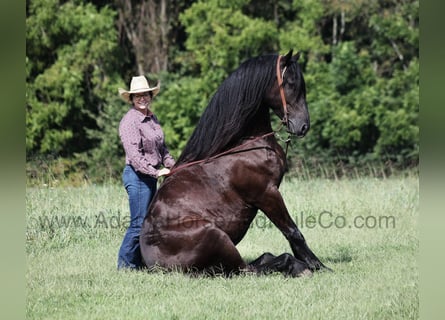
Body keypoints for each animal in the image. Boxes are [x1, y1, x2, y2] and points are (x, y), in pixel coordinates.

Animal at [140, 51, 328, 276]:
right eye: (290, 83)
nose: (303, 126)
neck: (246, 145)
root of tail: (152, 263)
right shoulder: (267, 194)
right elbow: (293, 232)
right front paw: (317, 265)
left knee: (261, 260)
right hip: (216, 236)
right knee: (249, 268)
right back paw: (298, 267)